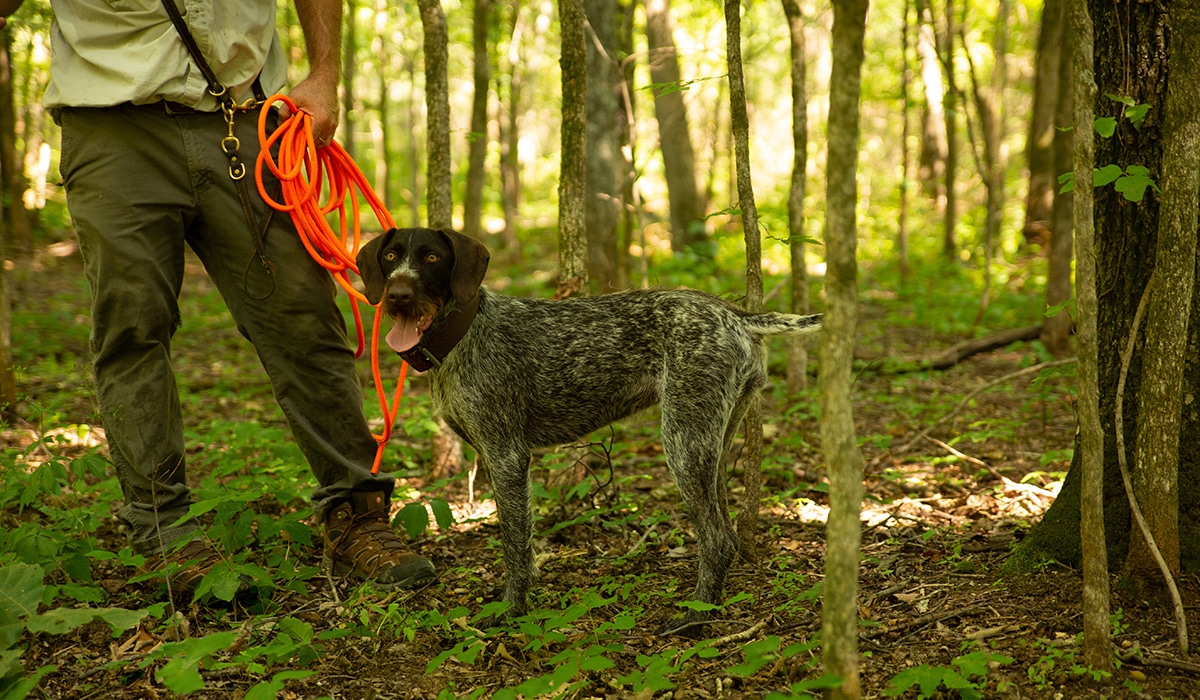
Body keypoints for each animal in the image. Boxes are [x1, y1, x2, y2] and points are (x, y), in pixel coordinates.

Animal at [355, 226, 825, 633]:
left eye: (432, 257)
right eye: (391, 257)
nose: (398, 294)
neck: (464, 330)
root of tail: (735, 316)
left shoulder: (507, 456)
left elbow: (514, 544)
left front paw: (512, 608)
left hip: (684, 443)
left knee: (718, 539)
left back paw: (695, 618)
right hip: (713, 440)